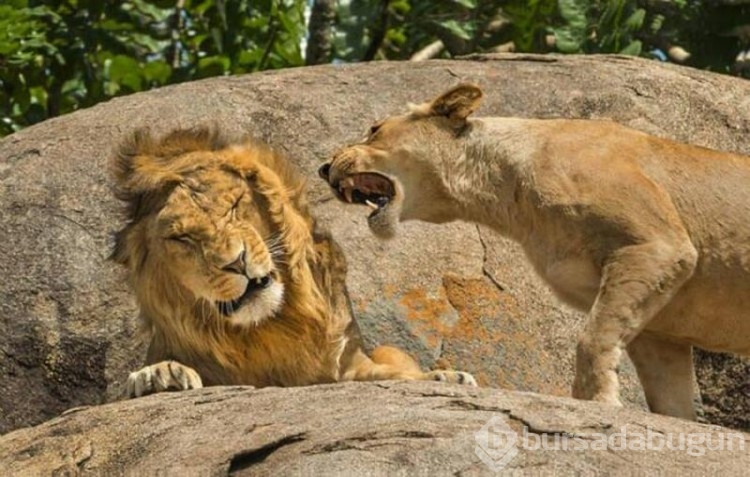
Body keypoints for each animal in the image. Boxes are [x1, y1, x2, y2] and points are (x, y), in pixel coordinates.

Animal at [111, 124, 476, 396]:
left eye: (234, 205)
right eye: (181, 238)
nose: (236, 261)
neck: (270, 327)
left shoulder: (349, 363)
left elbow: (388, 375)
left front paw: (444, 377)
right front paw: (159, 375)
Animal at [320, 83, 750, 418]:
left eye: (374, 129)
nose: (324, 168)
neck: (507, 192)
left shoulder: (658, 245)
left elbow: (592, 338)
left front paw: (597, 404)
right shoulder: (660, 328)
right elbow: (669, 398)